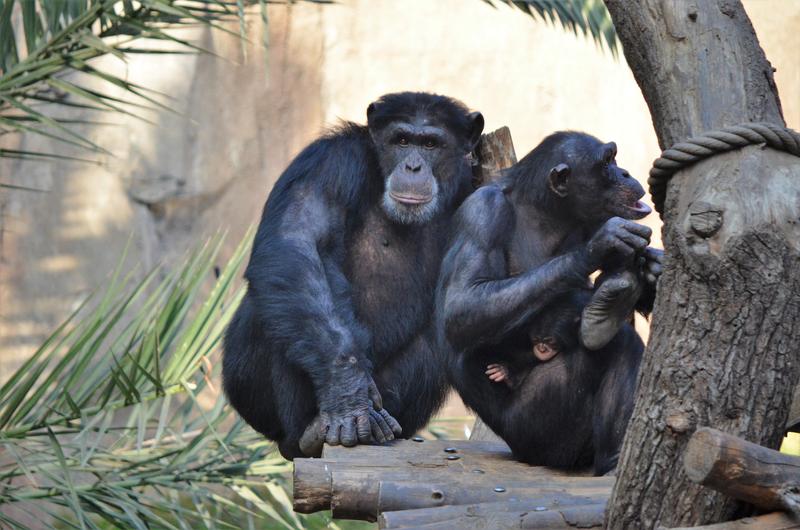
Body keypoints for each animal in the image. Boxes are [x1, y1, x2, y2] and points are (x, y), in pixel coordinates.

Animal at [220, 91, 482, 458]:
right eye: (401, 140)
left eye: (431, 143)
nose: (413, 166)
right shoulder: (330, 162)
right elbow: (296, 242)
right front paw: (347, 393)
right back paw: (311, 431)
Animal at [438, 130, 664, 472]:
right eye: (607, 161)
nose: (625, 172)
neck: (545, 213)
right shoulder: (482, 212)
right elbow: (463, 303)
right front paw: (603, 244)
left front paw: (653, 267)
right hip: (541, 433)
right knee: (617, 344)